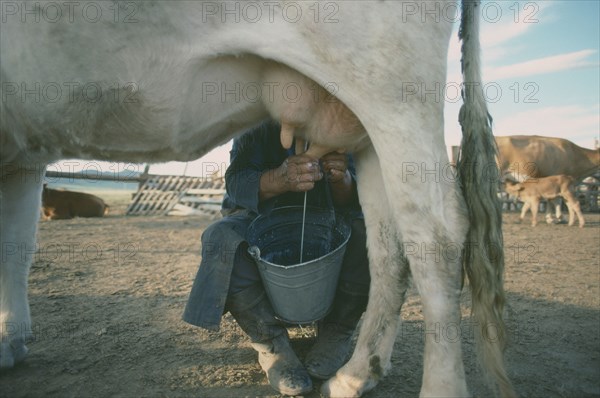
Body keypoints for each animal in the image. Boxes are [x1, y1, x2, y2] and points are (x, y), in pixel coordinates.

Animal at [1, 1, 510, 396]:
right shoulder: (24, 157)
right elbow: (17, 244)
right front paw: (12, 340)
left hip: (390, 88)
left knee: (437, 236)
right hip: (362, 122)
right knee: (387, 247)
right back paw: (354, 376)